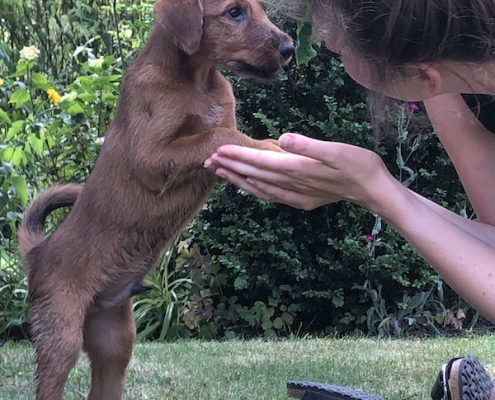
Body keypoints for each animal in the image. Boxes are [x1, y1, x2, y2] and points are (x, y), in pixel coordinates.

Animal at [17, 0, 292, 400]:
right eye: (234, 12)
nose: (290, 49)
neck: (197, 79)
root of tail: (38, 253)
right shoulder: (152, 156)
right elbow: (217, 136)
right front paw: (269, 146)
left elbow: (225, 134)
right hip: (61, 333)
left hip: (115, 340)